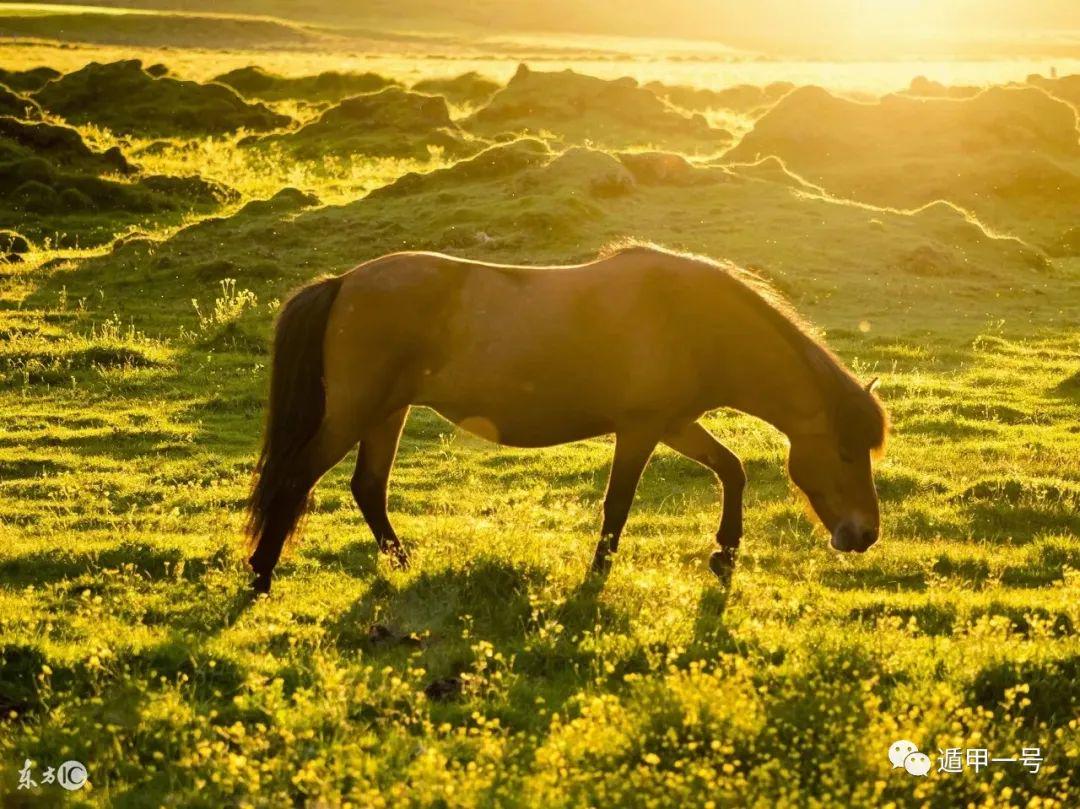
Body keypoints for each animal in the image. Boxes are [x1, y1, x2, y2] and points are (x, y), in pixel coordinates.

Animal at [245, 243, 885, 591]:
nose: (865, 536)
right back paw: (261, 574)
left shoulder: (674, 423)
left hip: (387, 411)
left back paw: (403, 564)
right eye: (846, 451)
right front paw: (599, 573)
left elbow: (731, 469)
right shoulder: (642, 428)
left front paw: (724, 555)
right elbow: (618, 504)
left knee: (368, 488)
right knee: (297, 478)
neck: (691, 320)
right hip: (355, 412)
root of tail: (345, 282)